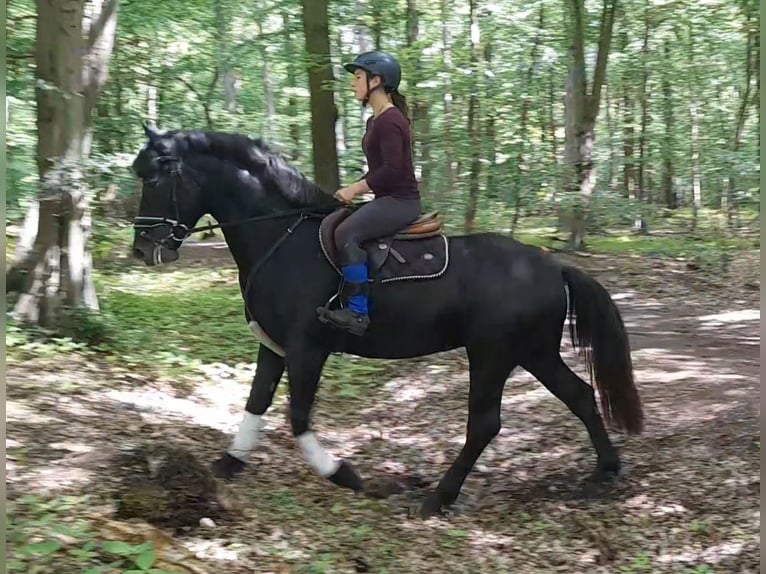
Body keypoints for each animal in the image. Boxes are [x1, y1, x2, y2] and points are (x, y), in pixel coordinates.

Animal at [130, 124, 643, 518]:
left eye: (154, 179)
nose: (143, 250)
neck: (281, 238)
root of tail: (552, 266)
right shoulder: (273, 345)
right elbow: (256, 402)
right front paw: (230, 461)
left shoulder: (306, 348)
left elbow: (298, 417)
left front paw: (344, 474)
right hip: (533, 351)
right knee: (580, 395)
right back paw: (605, 471)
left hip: (493, 354)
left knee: (485, 424)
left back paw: (439, 498)